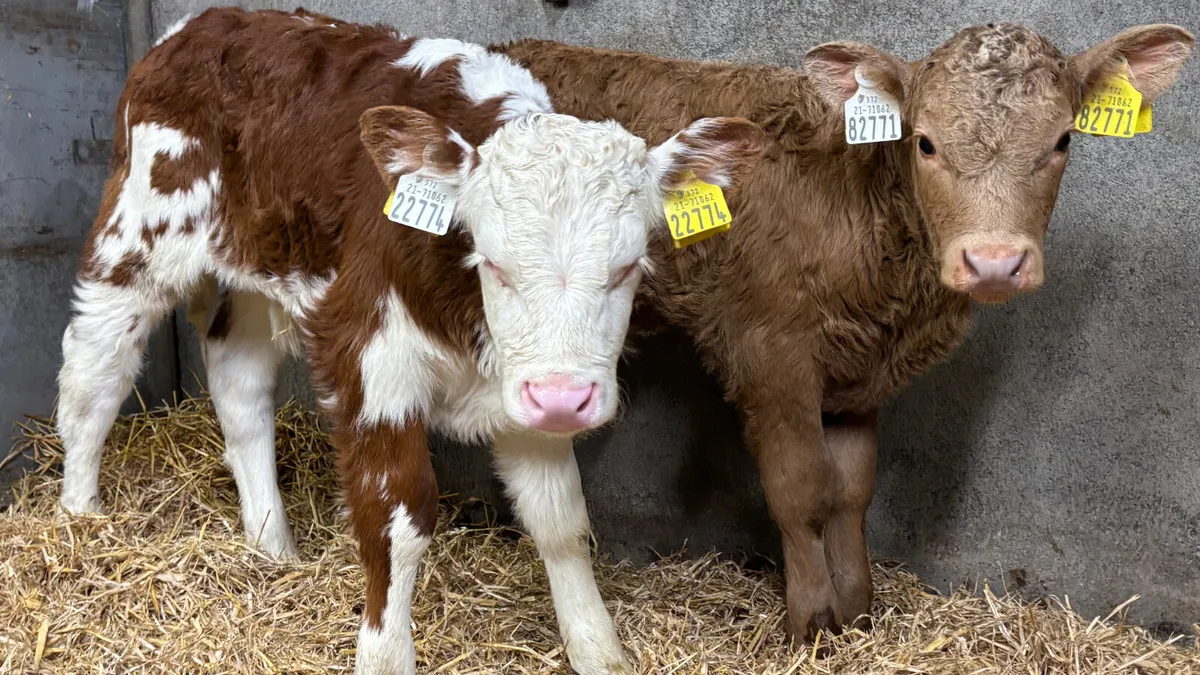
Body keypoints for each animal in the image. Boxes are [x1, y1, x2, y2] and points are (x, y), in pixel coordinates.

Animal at [53, 8, 764, 674]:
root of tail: (200, 24)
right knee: (93, 378)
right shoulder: (372, 354)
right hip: (135, 239)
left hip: (257, 269)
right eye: (494, 263)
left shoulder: (525, 383)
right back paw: (80, 521)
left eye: (627, 268)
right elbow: (396, 520)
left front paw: (598, 650)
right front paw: (384, 655)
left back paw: (272, 549)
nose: (565, 399)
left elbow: (560, 519)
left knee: (240, 385)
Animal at [492, 22, 1194, 644]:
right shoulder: (770, 355)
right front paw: (813, 621)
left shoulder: (860, 373)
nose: (994, 261)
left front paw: (858, 610)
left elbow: (853, 491)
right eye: (926, 143)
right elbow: (802, 490)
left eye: (1062, 139)